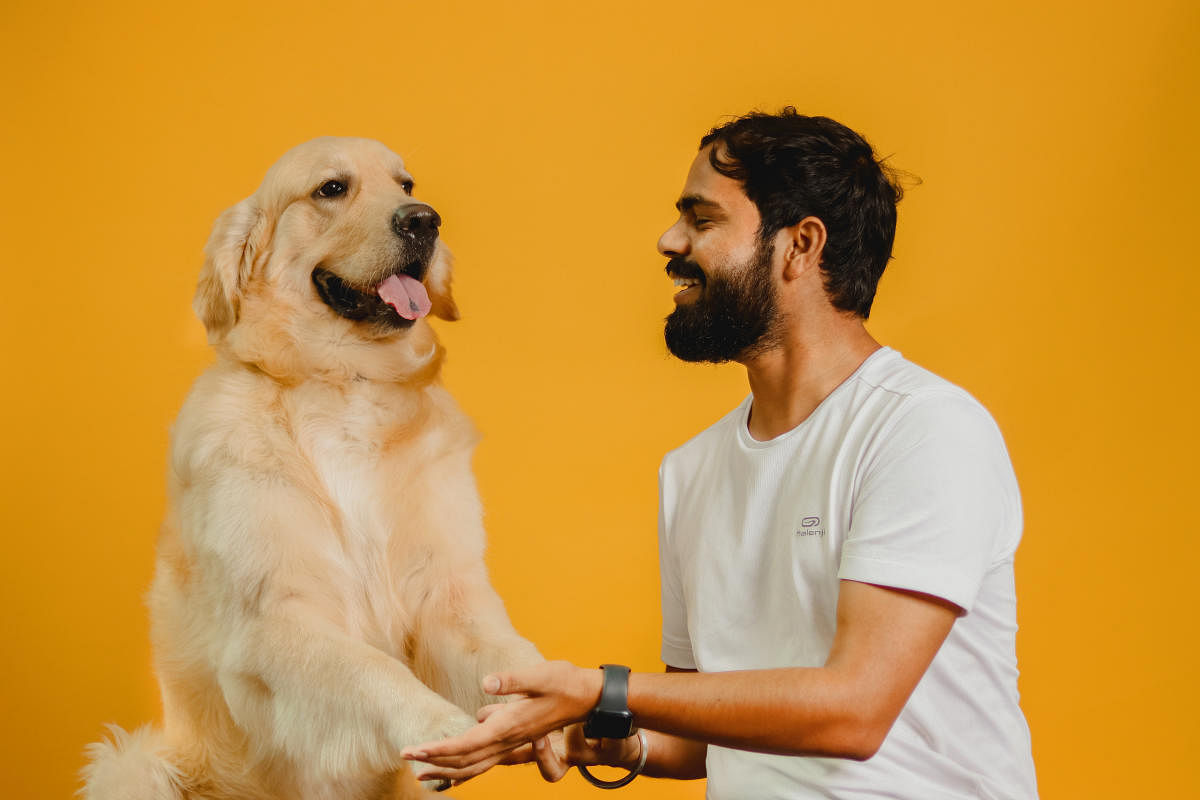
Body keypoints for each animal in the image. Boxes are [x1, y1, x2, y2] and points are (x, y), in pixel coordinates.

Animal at [79, 137, 540, 800]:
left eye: (406, 184)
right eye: (332, 188)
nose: (425, 220)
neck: (346, 379)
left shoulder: (445, 593)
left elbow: (507, 655)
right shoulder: (275, 619)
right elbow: (373, 670)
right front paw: (438, 723)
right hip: (136, 767)